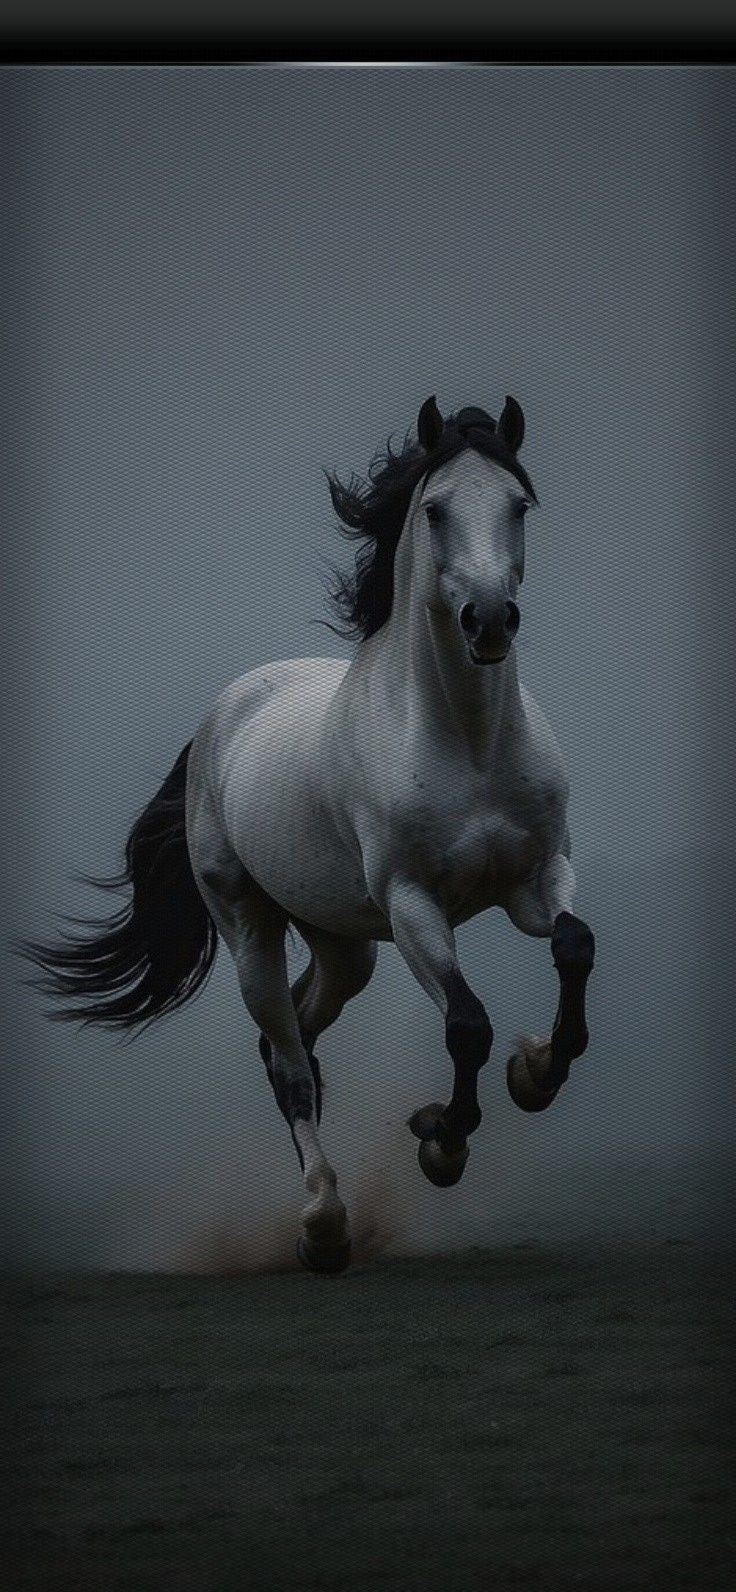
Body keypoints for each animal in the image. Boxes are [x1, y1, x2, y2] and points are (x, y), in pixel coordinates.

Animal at [20, 394, 595, 1274]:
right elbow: (466, 1023)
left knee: (297, 1035)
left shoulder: (538, 877)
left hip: (342, 944)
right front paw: (441, 1142)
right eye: (436, 509)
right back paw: (323, 1225)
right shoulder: (413, 905)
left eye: (518, 504)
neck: (466, 741)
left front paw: (535, 1072)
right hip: (250, 926)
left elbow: (572, 945)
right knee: (287, 1062)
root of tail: (218, 723)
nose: (490, 620)